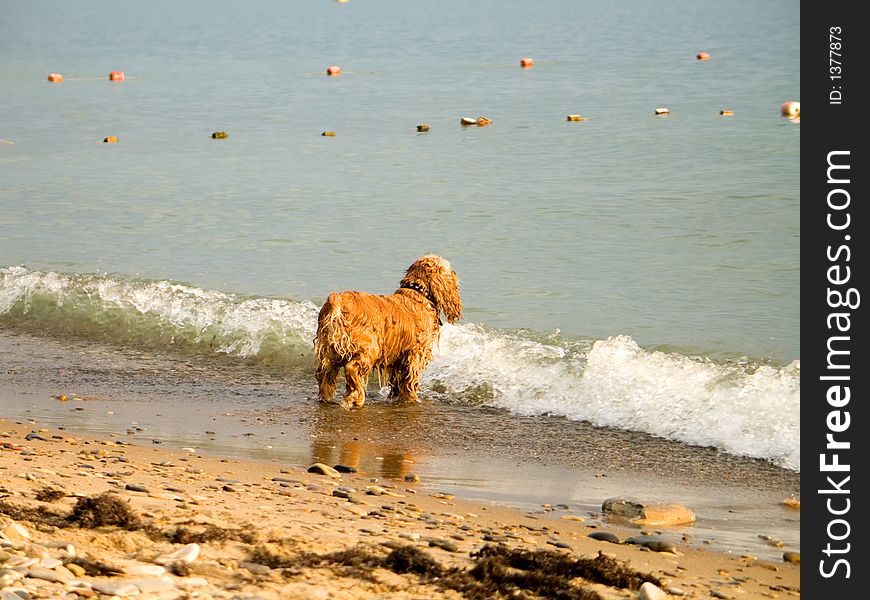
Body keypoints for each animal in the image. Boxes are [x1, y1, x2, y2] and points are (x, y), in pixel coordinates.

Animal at [314, 254, 464, 408]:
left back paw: (326, 398)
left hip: (329, 349)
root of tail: (337, 300)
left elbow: (398, 382)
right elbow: (410, 382)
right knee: (351, 369)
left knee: (324, 374)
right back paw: (355, 399)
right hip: (369, 347)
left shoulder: (399, 357)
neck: (417, 294)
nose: (455, 272)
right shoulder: (415, 354)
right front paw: (412, 399)